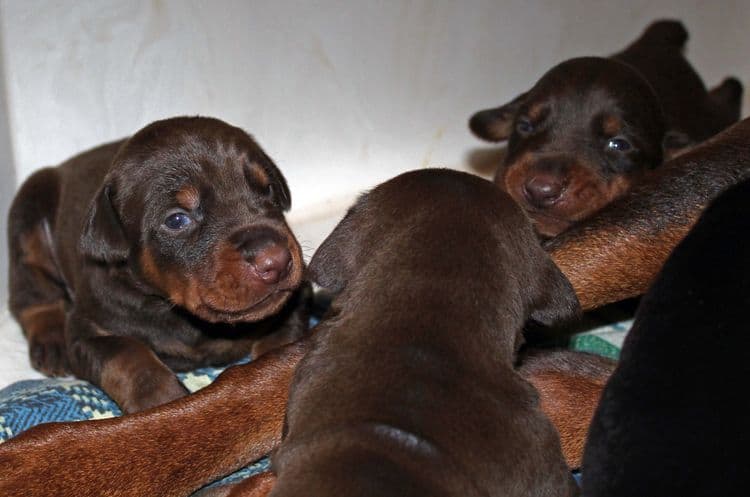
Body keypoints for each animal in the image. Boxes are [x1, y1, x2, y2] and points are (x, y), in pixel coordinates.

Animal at [7, 115, 306, 410]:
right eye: (176, 220)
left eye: (268, 189)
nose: (276, 261)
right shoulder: (88, 329)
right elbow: (127, 354)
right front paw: (162, 403)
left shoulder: (293, 303)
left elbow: (279, 344)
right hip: (27, 214)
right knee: (32, 296)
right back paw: (50, 341)